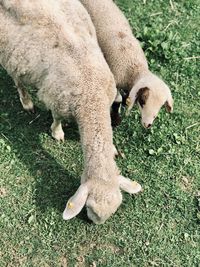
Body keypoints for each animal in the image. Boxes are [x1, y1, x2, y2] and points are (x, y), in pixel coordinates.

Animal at [0, 0, 143, 224]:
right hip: (10, 53)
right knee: (17, 79)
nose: (93, 225)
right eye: (90, 209)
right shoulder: (58, 99)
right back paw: (27, 102)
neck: (91, 97)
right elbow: (57, 118)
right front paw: (57, 133)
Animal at [79, 0, 173, 129]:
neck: (134, 67)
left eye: (161, 105)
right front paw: (115, 120)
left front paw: (125, 100)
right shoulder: (116, 78)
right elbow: (116, 101)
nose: (148, 124)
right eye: (143, 101)